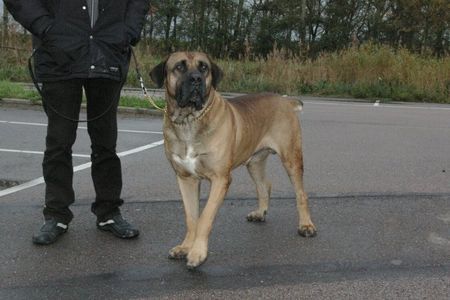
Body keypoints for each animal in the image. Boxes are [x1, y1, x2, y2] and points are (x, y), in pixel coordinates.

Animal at [149, 52, 314, 270]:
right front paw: (185, 247)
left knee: (301, 193)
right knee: (264, 185)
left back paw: (306, 226)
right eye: (179, 67)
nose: (196, 79)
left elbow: (205, 217)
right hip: (254, 161)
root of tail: (285, 101)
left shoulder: (220, 179)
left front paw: (197, 253)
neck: (189, 120)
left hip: (291, 158)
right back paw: (260, 213)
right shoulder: (185, 179)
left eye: (204, 68)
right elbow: (191, 217)